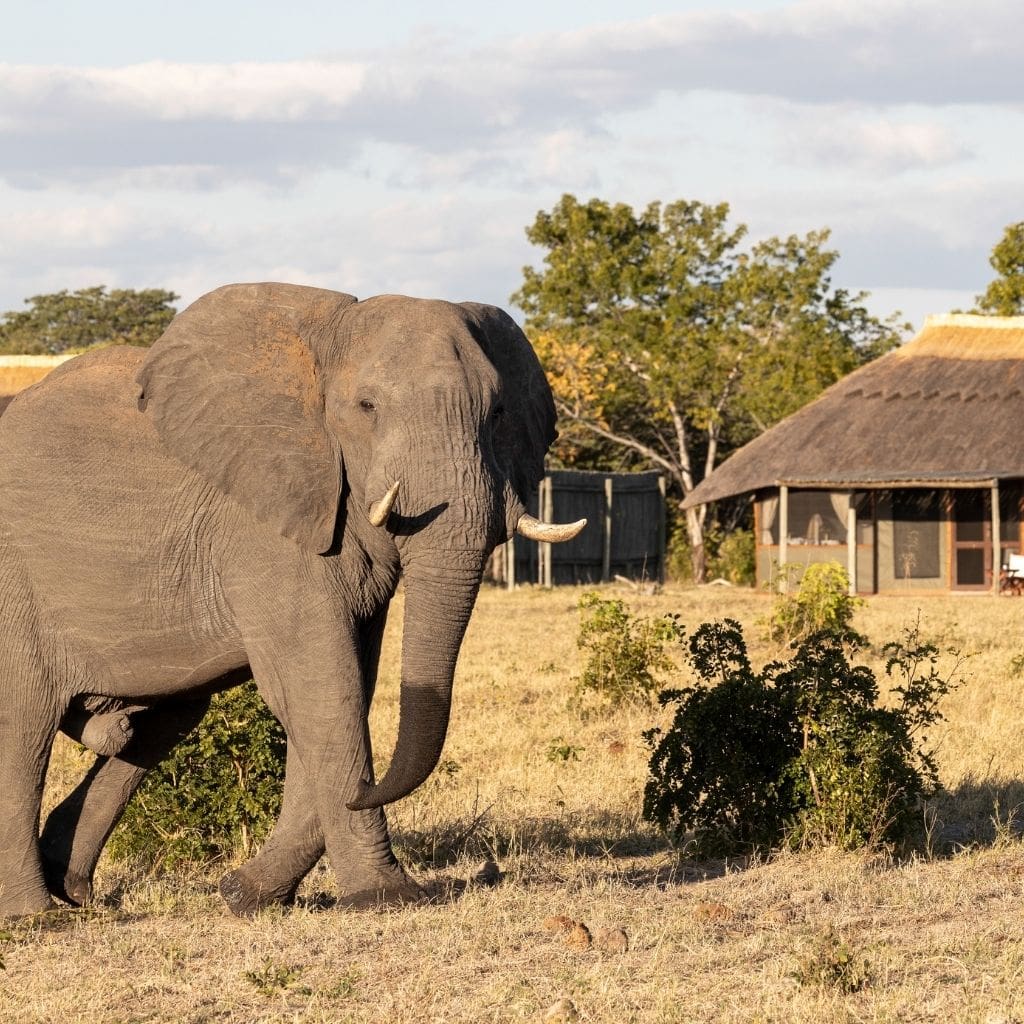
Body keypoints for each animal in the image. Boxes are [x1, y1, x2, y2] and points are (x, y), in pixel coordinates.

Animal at [0, 282, 585, 918]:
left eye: (498, 413)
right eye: (367, 407)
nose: (366, 792)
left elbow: (342, 683)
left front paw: (246, 896)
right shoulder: (264, 525)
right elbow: (320, 688)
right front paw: (387, 898)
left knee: (162, 725)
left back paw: (73, 891)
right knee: (23, 728)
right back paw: (38, 918)